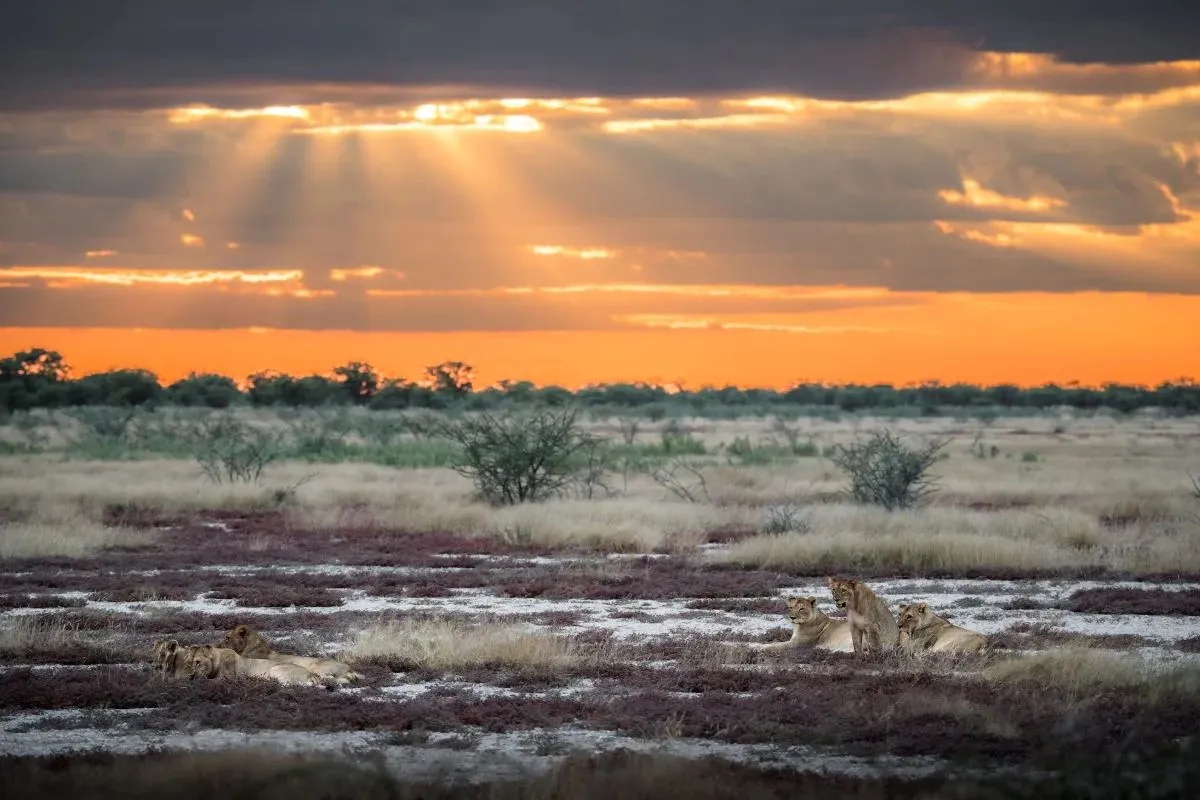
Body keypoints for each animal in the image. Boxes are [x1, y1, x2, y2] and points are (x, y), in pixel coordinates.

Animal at [189, 645, 327, 687]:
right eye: (191, 662)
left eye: (198, 662)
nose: (191, 676)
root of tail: (311, 674)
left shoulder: (227, 678)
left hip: (276, 669)